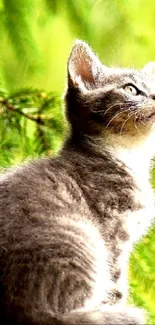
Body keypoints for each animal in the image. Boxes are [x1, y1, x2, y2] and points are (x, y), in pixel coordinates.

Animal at [0, 39, 155, 322]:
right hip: (79, 239)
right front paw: (117, 306)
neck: (129, 156)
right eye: (131, 89)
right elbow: (116, 284)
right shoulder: (113, 231)